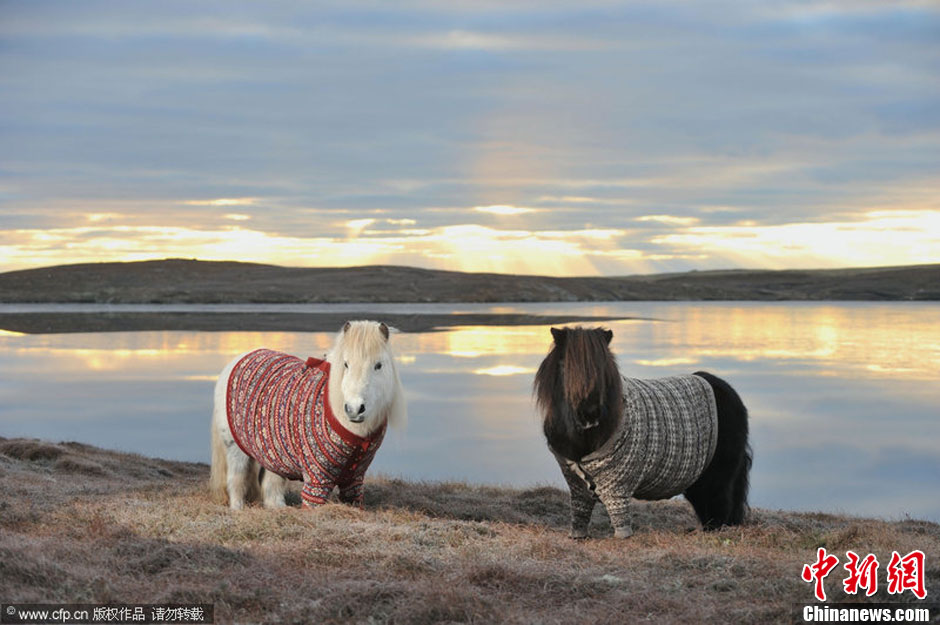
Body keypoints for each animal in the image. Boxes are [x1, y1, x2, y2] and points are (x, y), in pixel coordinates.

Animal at [211, 320, 406, 510]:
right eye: (346, 364)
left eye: (378, 365)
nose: (354, 409)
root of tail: (237, 360)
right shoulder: (316, 479)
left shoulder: (354, 480)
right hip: (235, 448)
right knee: (236, 480)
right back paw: (237, 509)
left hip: (273, 455)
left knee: (271, 487)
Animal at [536, 326, 748, 536]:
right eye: (565, 366)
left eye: (603, 368)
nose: (590, 414)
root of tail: (725, 389)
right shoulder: (577, 487)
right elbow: (579, 514)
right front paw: (578, 536)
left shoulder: (618, 488)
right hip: (698, 477)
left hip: (717, 474)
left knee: (720, 505)